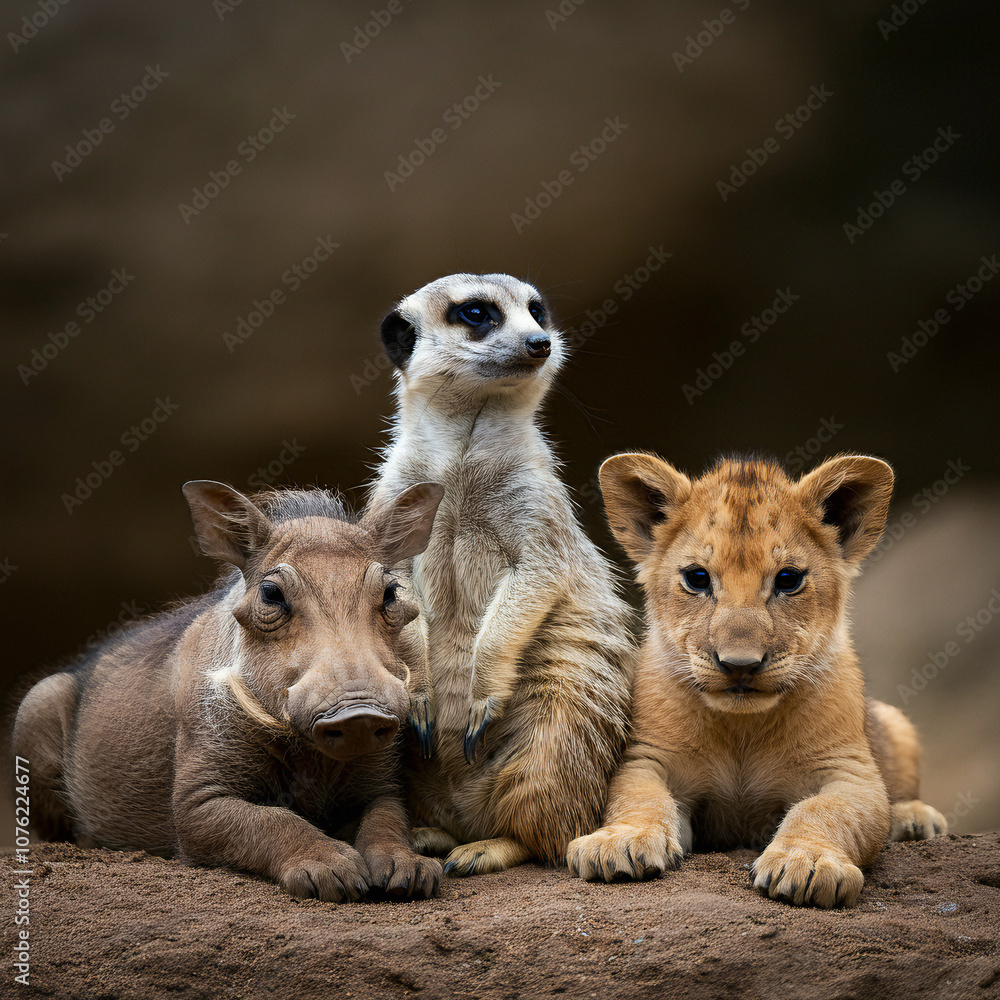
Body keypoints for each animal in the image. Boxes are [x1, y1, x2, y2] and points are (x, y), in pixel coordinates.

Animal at [11, 479, 445, 901]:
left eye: (391, 593)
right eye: (271, 594)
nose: (359, 713)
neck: (309, 756)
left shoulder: (380, 786)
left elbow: (386, 820)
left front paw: (410, 870)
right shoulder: (198, 804)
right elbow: (271, 820)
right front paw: (334, 872)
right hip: (36, 707)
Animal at [566, 452, 946, 908]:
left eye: (788, 579)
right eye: (697, 578)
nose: (740, 664)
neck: (741, 728)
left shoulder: (851, 773)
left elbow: (825, 811)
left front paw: (807, 863)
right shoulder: (647, 759)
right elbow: (639, 798)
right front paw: (618, 842)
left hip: (896, 724)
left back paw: (915, 818)